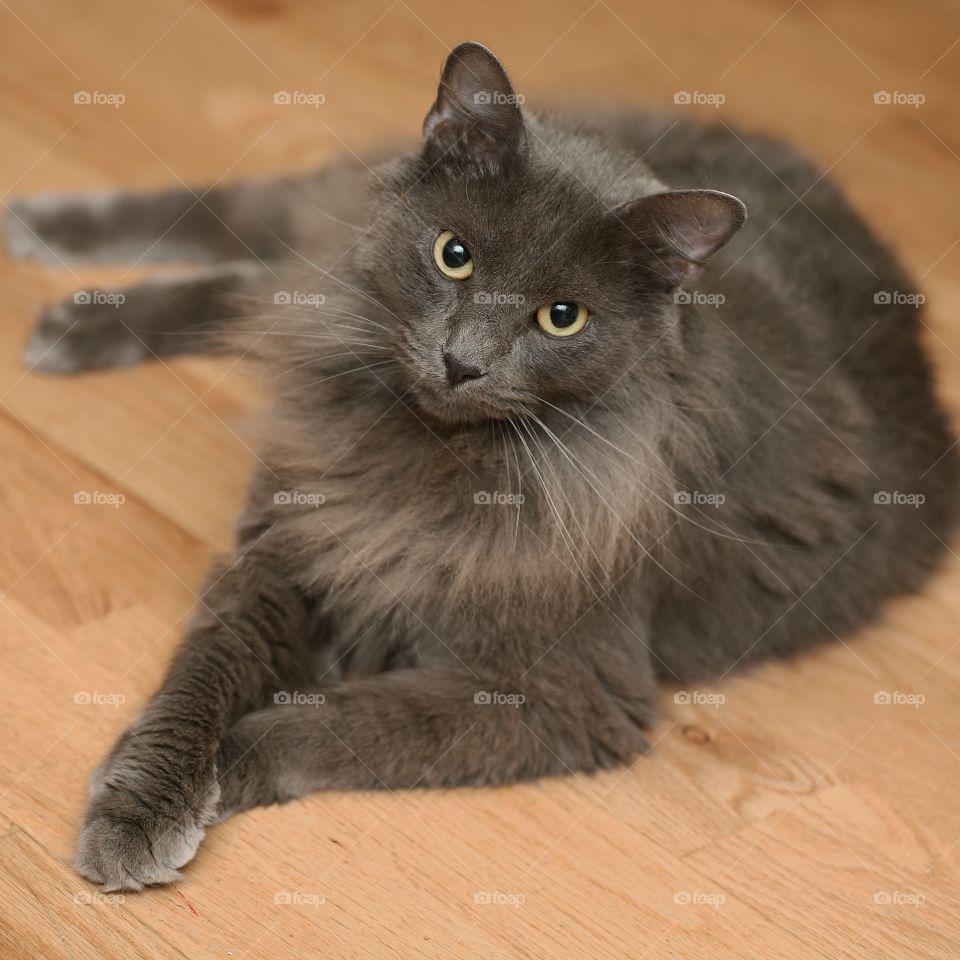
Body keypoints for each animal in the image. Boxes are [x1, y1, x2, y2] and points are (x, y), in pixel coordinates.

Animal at [9, 41, 960, 888]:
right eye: (453, 255)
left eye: (562, 317)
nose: (462, 361)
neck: (438, 455)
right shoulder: (289, 554)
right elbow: (200, 680)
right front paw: (141, 799)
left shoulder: (560, 694)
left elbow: (332, 726)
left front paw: (192, 777)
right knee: (260, 234)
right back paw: (52, 255)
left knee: (265, 278)